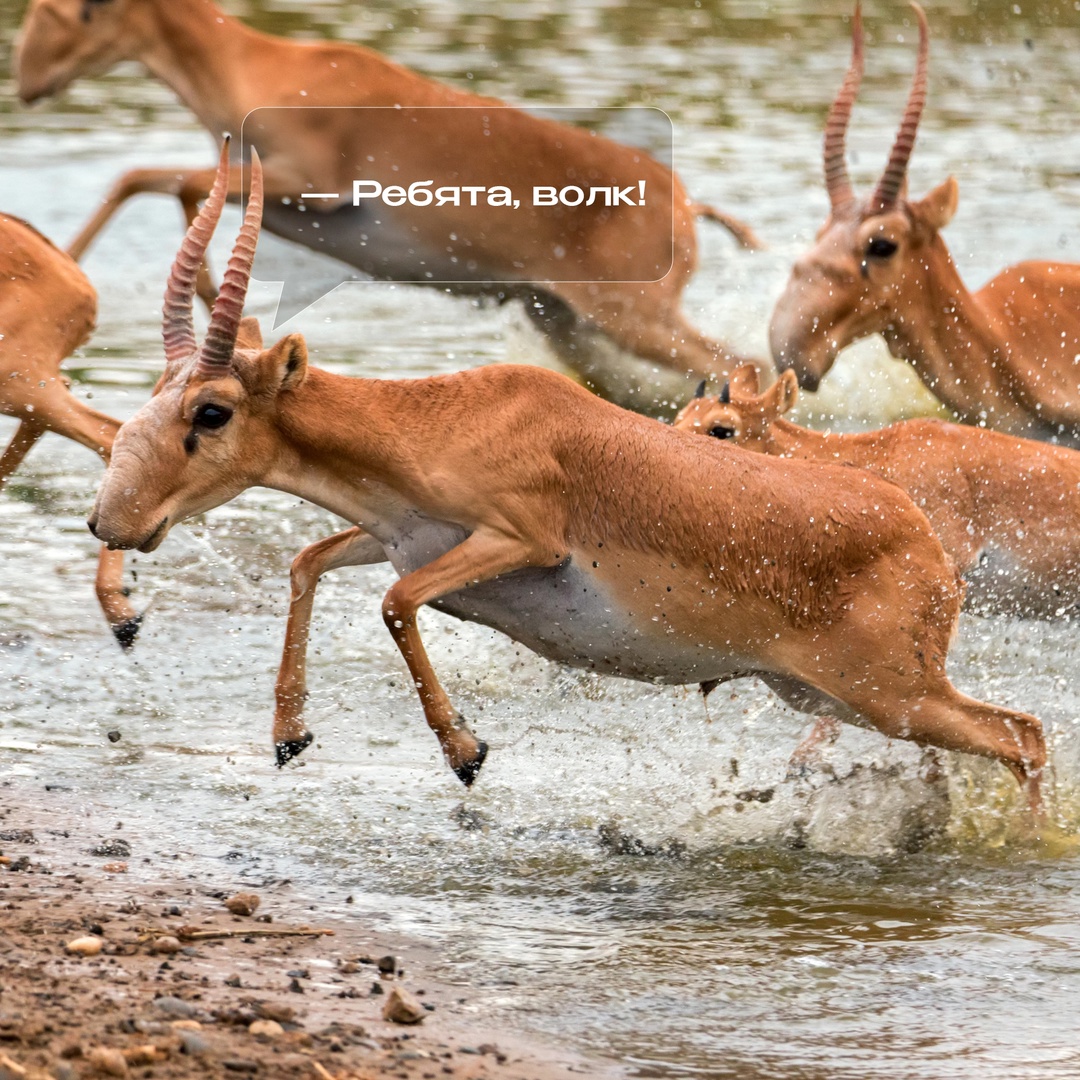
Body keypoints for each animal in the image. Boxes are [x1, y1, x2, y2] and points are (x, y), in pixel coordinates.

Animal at [14, 0, 760, 397]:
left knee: (741, 362)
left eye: (60, 12)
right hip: (565, 319)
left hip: (631, 314)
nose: (24, 84)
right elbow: (146, 178)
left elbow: (176, 182)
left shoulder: (311, 184)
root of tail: (688, 207)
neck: (255, 66)